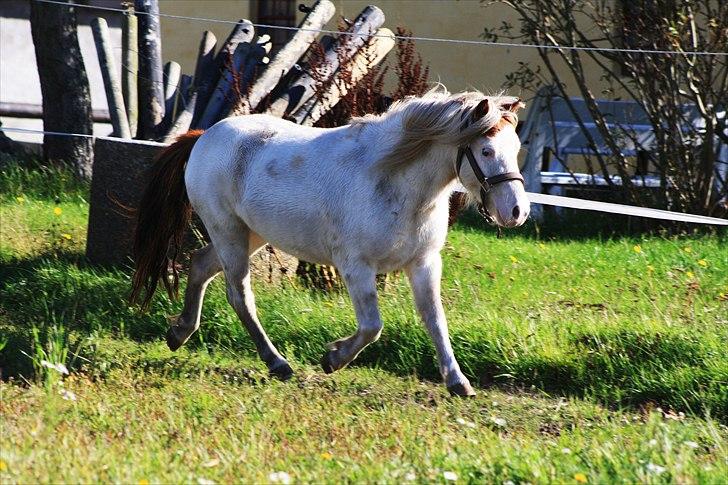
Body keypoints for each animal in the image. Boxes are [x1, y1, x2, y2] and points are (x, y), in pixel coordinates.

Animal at [132, 89, 528, 396]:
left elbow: (435, 319)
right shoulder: (356, 266)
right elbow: (372, 326)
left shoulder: (424, 262)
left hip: (251, 235)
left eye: (516, 147)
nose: (517, 211)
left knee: (200, 265)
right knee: (239, 295)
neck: (395, 181)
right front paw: (332, 359)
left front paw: (458, 382)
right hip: (227, 230)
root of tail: (203, 136)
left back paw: (179, 333)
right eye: (487, 151)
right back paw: (277, 363)